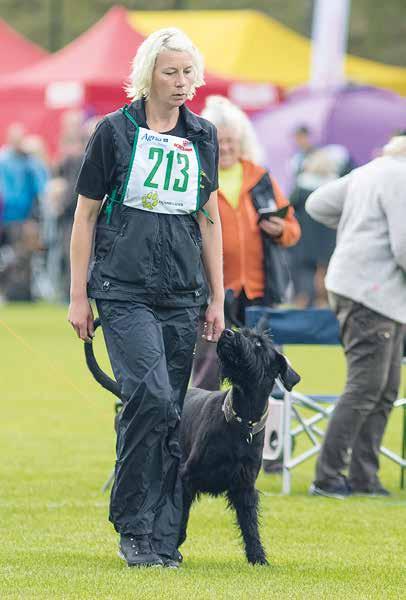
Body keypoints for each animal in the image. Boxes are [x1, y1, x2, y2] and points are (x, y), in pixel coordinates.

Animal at [83, 322, 298, 564]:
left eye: (259, 343)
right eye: (243, 332)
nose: (227, 333)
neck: (241, 421)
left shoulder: (244, 485)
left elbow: (250, 525)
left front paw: (257, 557)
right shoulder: (186, 478)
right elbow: (178, 518)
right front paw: (169, 550)